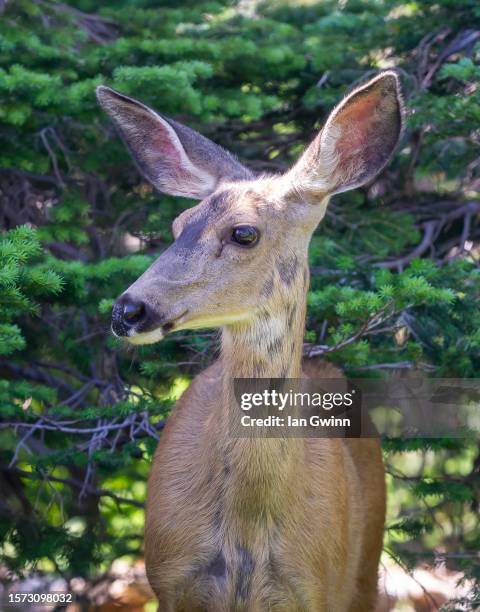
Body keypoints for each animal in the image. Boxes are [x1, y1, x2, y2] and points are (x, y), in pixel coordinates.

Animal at [98, 73, 404, 612]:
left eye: (244, 233)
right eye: (178, 225)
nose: (128, 310)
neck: (246, 534)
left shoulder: (315, 588)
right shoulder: (170, 582)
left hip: (365, 568)